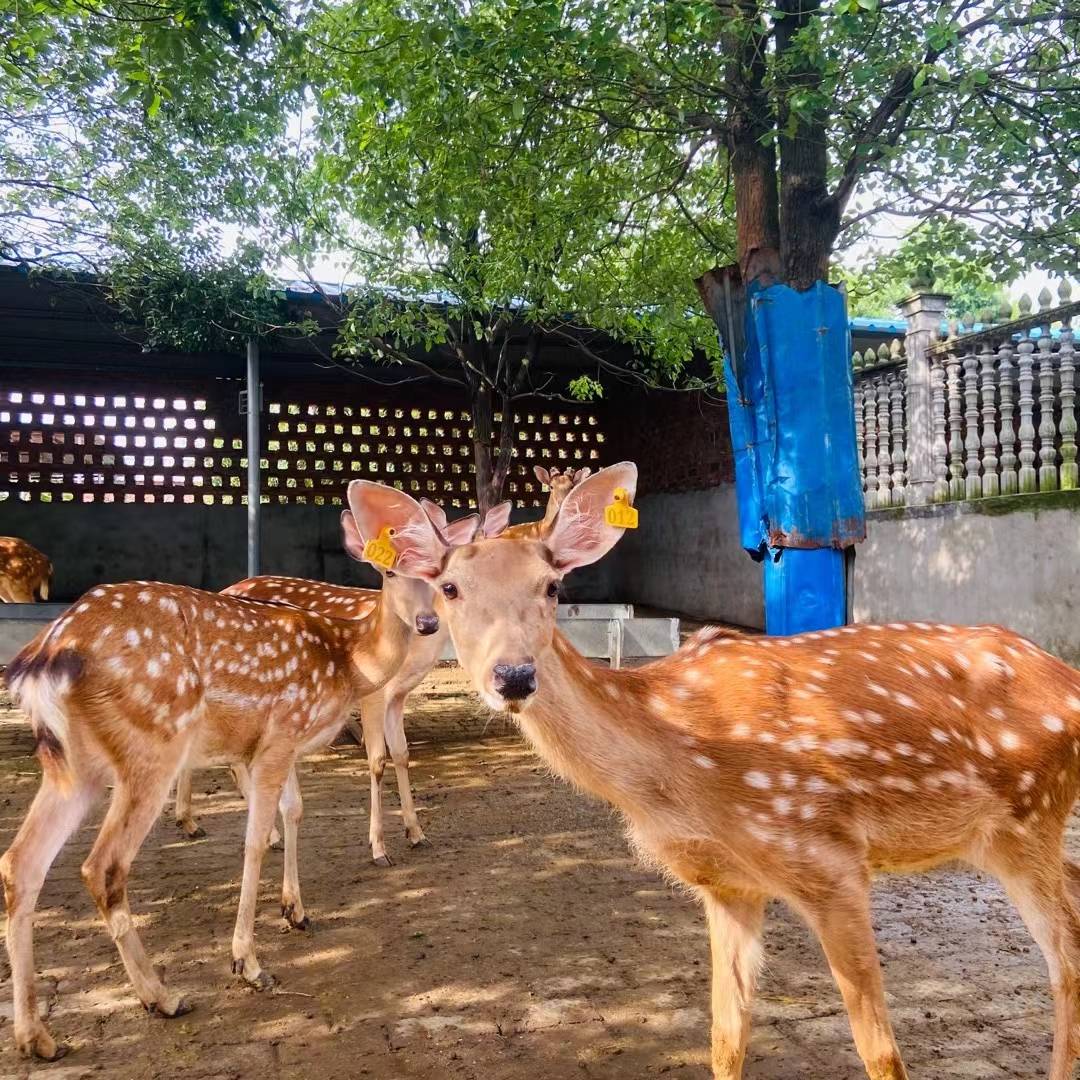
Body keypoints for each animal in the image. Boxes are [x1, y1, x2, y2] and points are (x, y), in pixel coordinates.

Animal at [0, 485, 475, 1061]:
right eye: (389, 571)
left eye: (442, 576)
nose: (428, 624)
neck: (347, 658)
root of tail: (43, 655)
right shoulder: (278, 735)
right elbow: (254, 840)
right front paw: (248, 962)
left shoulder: (280, 744)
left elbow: (295, 812)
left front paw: (296, 911)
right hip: (150, 746)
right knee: (102, 866)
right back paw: (162, 996)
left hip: (72, 765)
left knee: (20, 863)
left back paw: (37, 1036)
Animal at [354, 459, 1080, 1080]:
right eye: (450, 587)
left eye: (551, 585)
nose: (513, 676)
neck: (677, 774)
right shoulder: (728, 884)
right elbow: (724, 1042)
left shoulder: (830, 859)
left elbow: (880, 1055)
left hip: (1027, 818)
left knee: (1065, 953)